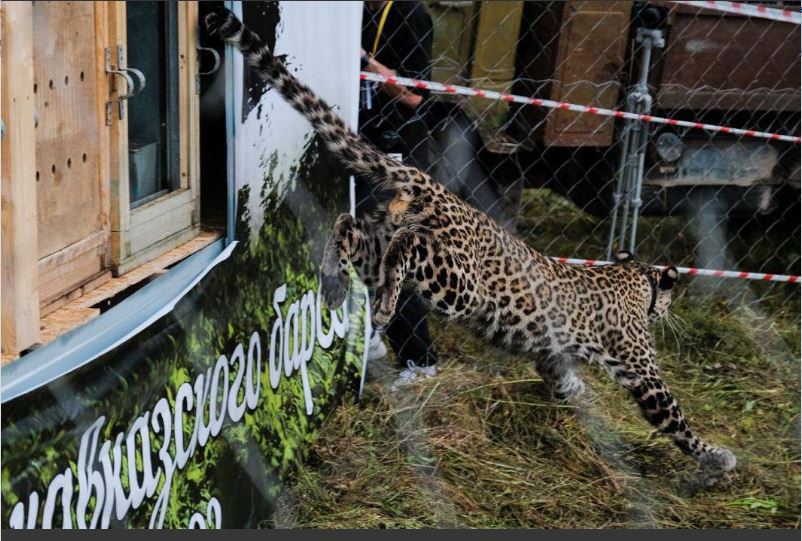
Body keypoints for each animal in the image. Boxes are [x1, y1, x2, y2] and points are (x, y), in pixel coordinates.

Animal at [203, 7, 736, 480]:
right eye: (668, 298)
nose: (667, 312)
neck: (633, 276)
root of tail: (431, 185)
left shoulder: (552, 351)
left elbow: (558, 372)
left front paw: (574, 394)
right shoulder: (639, 367)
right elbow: (675, 417)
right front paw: (718, 458)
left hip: (378, 241)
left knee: (346, 224)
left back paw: (335, 286)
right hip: (458, 283)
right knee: (407, 247)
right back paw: (382, 308)